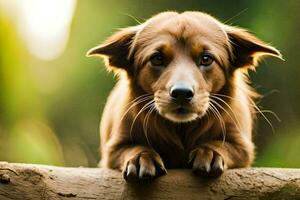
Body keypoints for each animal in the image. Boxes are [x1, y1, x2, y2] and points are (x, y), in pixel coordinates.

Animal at [86, 10, 282, 180]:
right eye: (157, 58)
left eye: (206, 58)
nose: (181, 93)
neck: (181, 129)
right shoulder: (113, 150)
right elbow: (131, 147)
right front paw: (141, 157)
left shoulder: (242, 146)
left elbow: (223, 144)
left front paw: (210, 152)